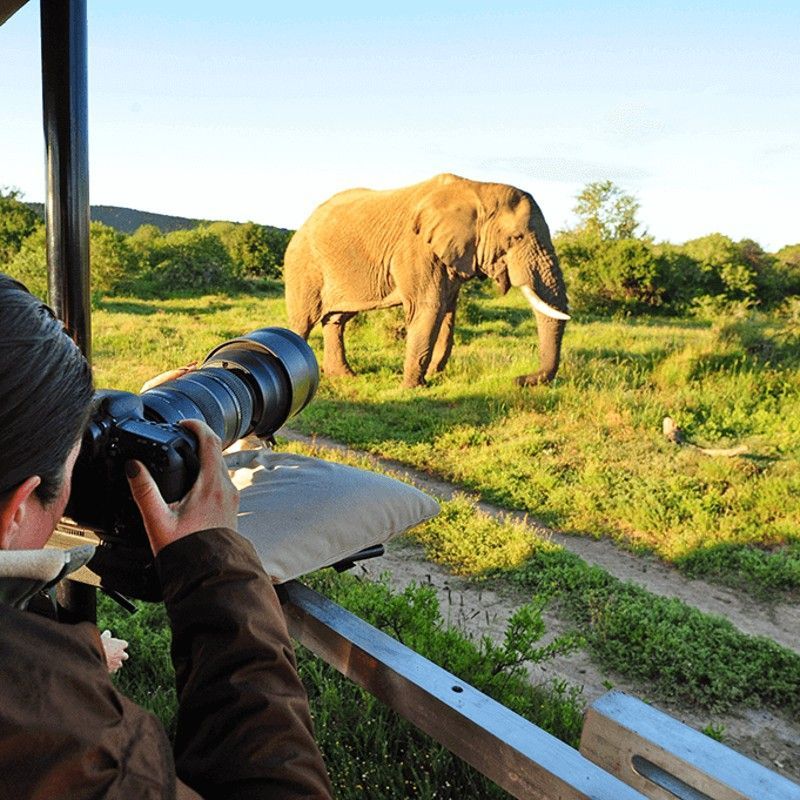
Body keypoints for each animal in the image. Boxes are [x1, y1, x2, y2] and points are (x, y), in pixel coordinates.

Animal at [283, 173, 570, 388]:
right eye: (517, 237)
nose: (519, 379)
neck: (479, 189)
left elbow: (447, 313)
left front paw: (432, 376)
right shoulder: (416, 249)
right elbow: (429, 308)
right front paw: (413, 388)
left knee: (336, 320)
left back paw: (345, 377)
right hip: (304, 266)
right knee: (303, 320)